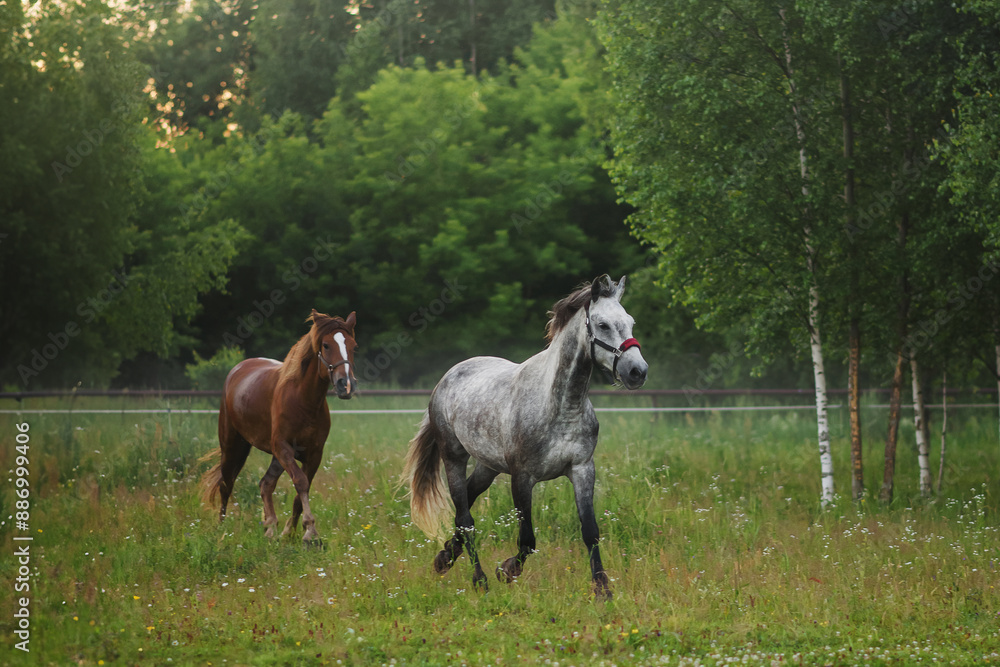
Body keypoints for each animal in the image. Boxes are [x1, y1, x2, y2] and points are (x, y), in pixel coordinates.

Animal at [198, 310, 356, 544]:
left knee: (265, 484)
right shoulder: (282, 447)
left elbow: (300, 492)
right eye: (326, 345)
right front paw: (310, 531)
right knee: (226, 484)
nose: (345, 385)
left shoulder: (313, 453)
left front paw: (291, 531)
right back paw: (222, 529)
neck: (303, 400)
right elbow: (301, 482)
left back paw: (270, 527)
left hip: (274, 456)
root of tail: (237, 370)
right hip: (233, 447)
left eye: (353, 346)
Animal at [404, 274, 648, 596]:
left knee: (465, 501)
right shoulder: (522, 477)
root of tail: (446, 378)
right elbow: (528, 540)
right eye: (603, 324)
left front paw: (602, 590)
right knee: (465, 517)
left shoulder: (582, 469)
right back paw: (479, 580)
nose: (637, 372)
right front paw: (506, 571)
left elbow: (590, 532)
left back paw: (445, 556)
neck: (560, 406)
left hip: (488, 466)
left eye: (631, 322)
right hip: (453, 456)